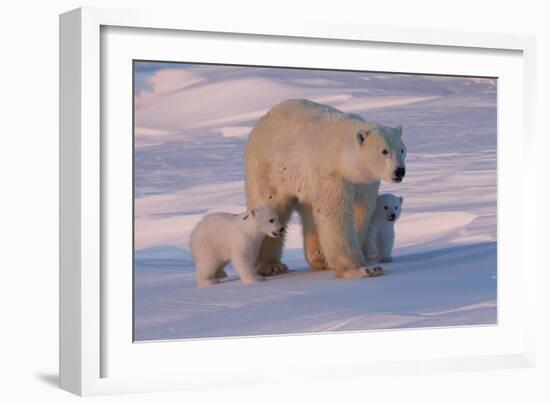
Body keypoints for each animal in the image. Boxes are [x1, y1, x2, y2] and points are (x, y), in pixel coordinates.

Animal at [245, 99, 406, 280]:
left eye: (402, 149)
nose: (399, 171)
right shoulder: (330, 175)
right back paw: (271, 266)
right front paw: (362, 269)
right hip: (271, 169)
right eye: (384, 151)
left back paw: (320, 258)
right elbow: (336, 213)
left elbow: (361, 211)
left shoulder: (365, 182)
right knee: (271, 205)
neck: (341, 154)